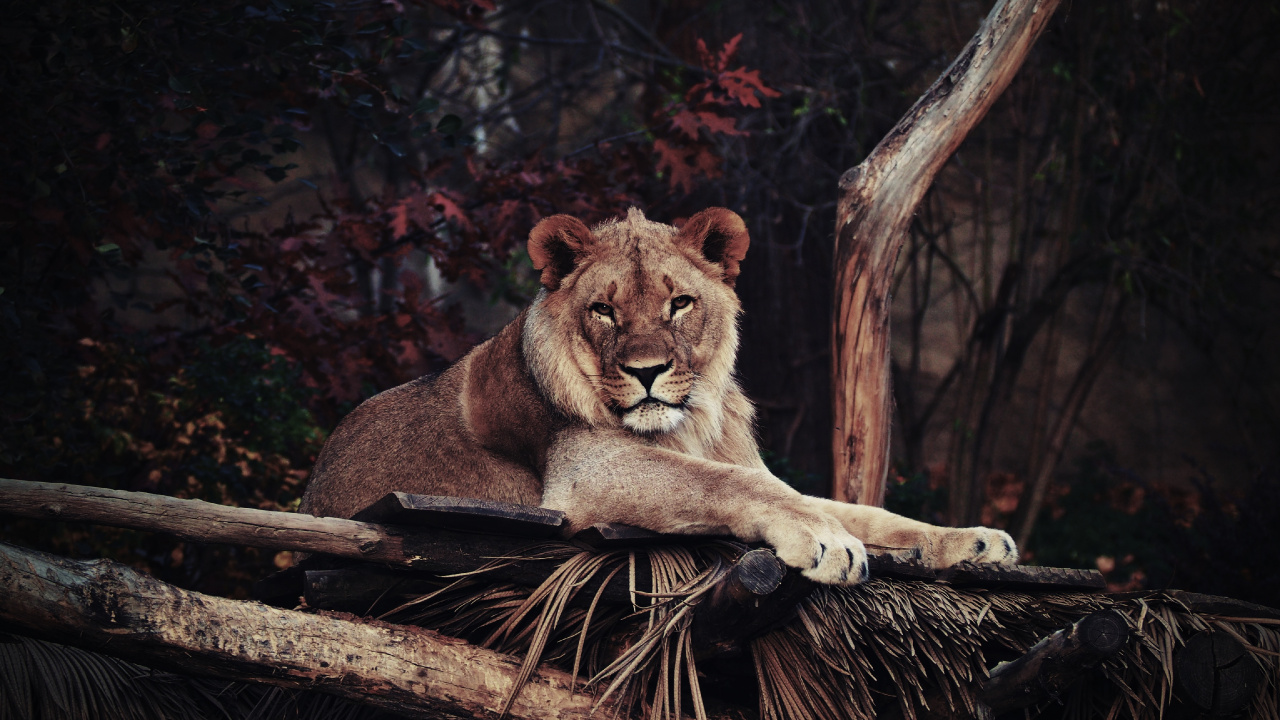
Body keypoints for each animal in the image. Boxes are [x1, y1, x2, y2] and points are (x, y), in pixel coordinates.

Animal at [299, 207, 1016, 584]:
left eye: (679, 304)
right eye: (603, 311)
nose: (647, 371)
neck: (688, 425)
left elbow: (861, 510)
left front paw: (971, 541)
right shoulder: (587, 472)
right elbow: (732, 487)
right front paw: (823, 539)